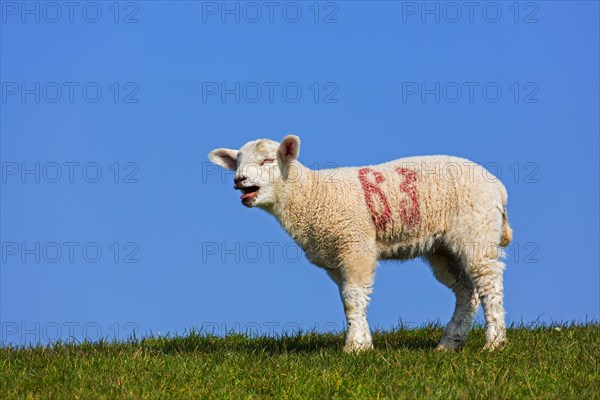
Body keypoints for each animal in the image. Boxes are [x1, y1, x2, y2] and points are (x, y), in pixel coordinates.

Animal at [209, 135, 512, 354]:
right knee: (465, 290)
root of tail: (498, 186)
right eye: (237, 163)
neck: (313, 195)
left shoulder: (355, 244)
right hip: (442, 247)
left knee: (488, 281)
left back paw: (494, 342)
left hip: (477, 229)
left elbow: (353, 297)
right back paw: (449, 344)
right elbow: (350, 298)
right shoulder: (335, 257)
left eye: (268, 160)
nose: (239, 180)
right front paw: (364, 342)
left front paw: (354, 347)